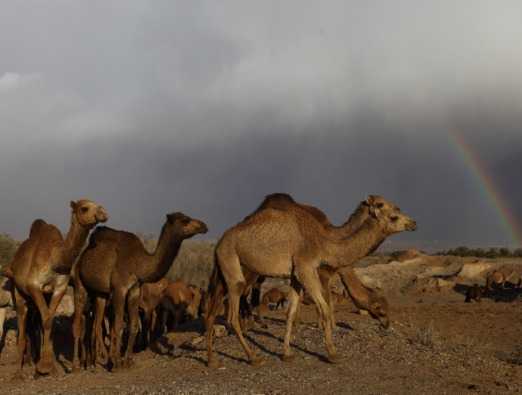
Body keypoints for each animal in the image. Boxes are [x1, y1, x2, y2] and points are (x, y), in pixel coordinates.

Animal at [5, 201, 107, 378]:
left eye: (98, 205)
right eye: (84, 208)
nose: (103, 213)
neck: (56, 259)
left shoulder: (60, 288)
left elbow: (49, 319)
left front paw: (48, 367)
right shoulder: (33, 285)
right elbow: (46, 318)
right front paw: (44, 367)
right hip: (18, 291)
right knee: (22, 321)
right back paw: (19, 372)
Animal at [72, 213, 206, 372]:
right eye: (185, 220)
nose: (204, 226)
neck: (138, 264)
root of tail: (82, 256)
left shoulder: (135, 289)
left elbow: (134, 325)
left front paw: (128, 361)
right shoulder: (119, 289)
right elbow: (118, 326)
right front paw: (117, 363)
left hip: (100, 293)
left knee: (97, 325)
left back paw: (98, 361)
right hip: (79, 283)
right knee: (79, 323)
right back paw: (77, 365)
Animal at [205, 196, 416, 368]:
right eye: (392, 215)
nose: (413, 223)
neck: (324, 241)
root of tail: (219, 243)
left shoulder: (296, 275)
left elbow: (291, 313)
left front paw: (287, 354)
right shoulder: (307, 268)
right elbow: (324, 308)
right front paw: (332, 353)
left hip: (225, 270)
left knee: (213, 310)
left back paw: (212, 360)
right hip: (232, 264)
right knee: (232, 314)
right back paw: (253, 358)